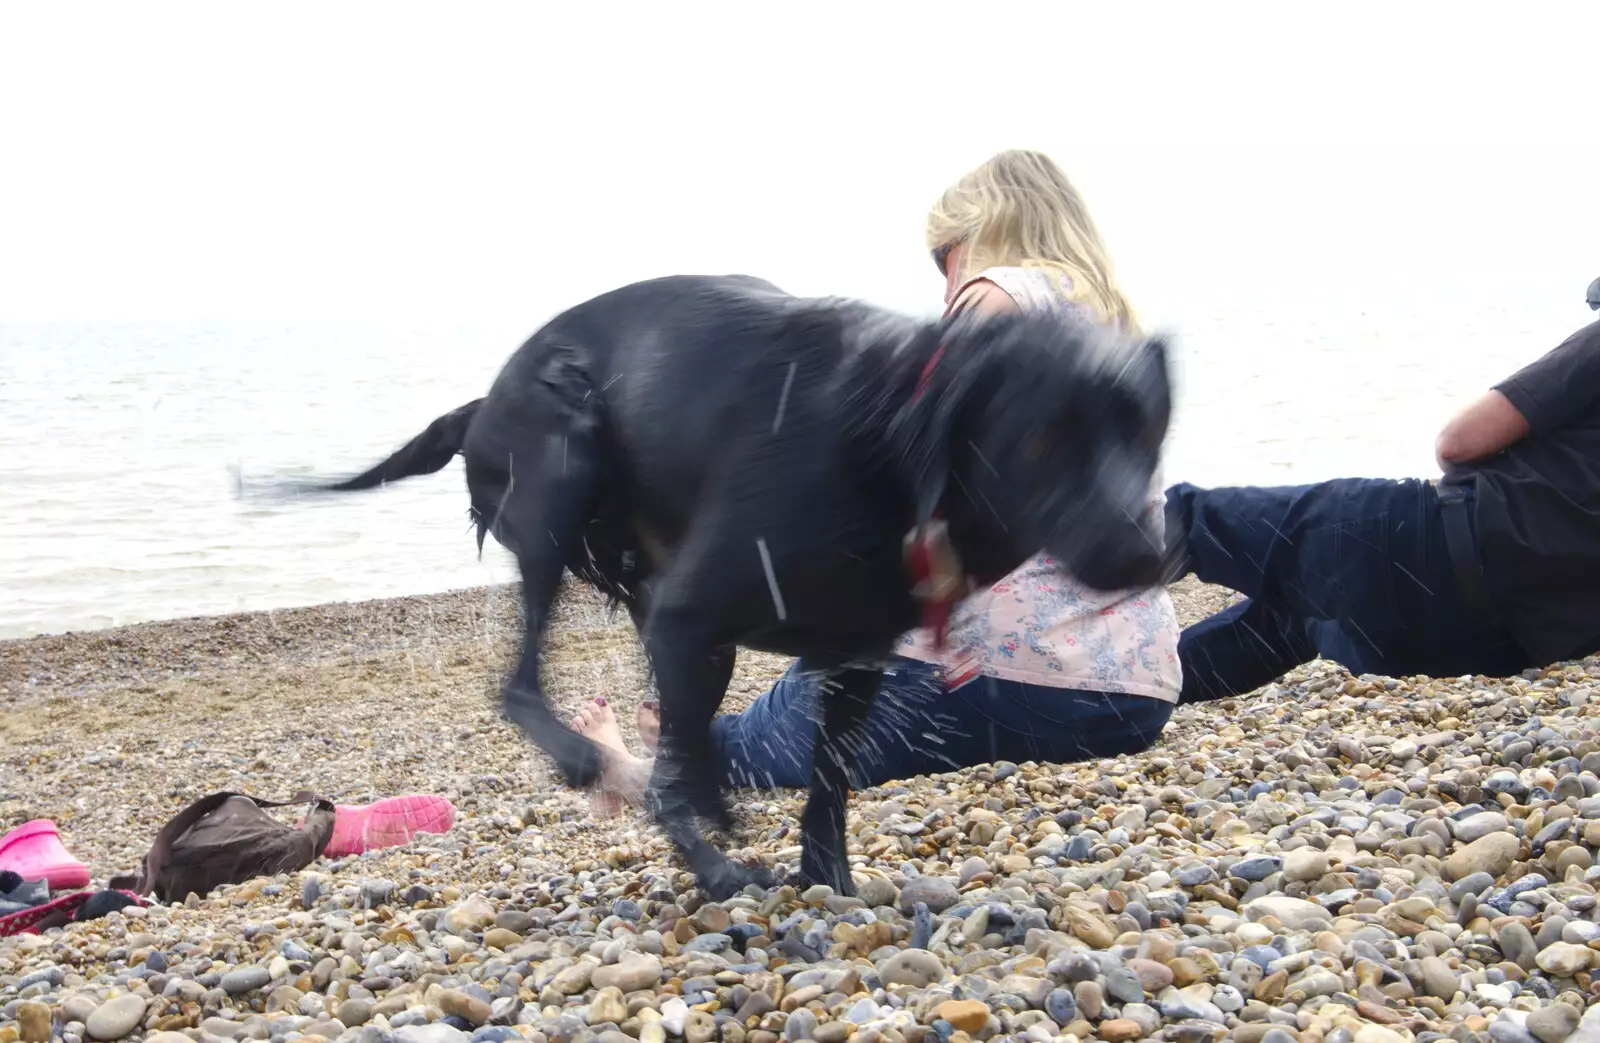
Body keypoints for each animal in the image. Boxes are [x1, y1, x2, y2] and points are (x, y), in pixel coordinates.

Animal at [256, 273, 1171, 902]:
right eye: (1043, 437)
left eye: (1148, 432)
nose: (1148, 552)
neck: (888, 444)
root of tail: (485, 398)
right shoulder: (686, 617)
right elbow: (682, 778)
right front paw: (721, 849)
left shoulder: (853, 661)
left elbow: (826, 787)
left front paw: (829, 880)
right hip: (565, 471)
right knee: (522, 687)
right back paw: (616, 782)